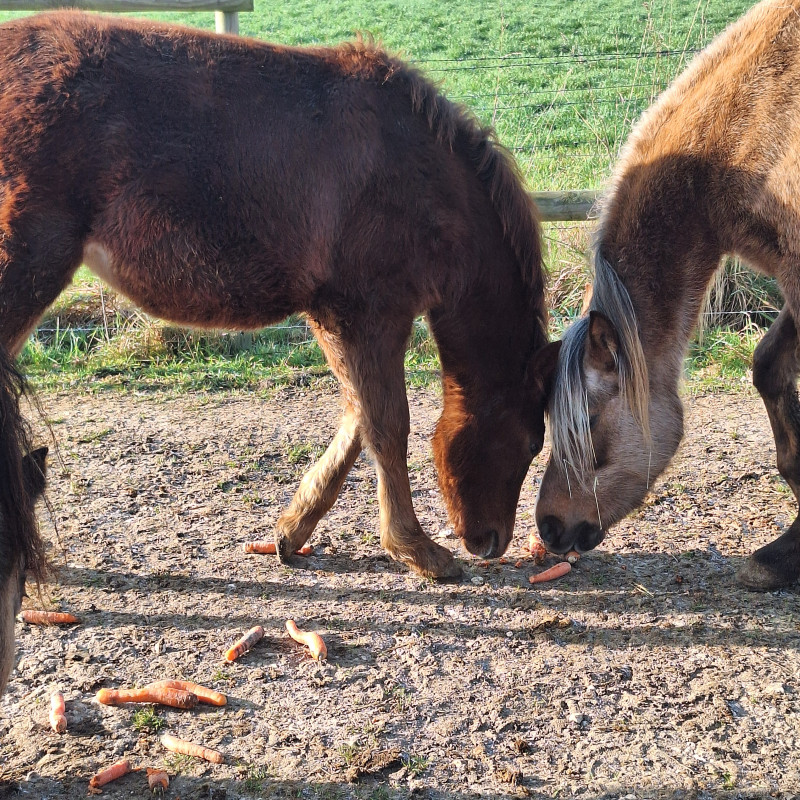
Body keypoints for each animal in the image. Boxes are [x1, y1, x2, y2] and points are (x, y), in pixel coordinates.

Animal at [0, 11, 555, 581]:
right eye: (532, 442)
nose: (491, 542)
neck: (419, 174)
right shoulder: (363, 313)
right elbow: (385, 424)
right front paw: (415, 548)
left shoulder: (350, 317)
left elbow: (357, 418)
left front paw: (294, 529)